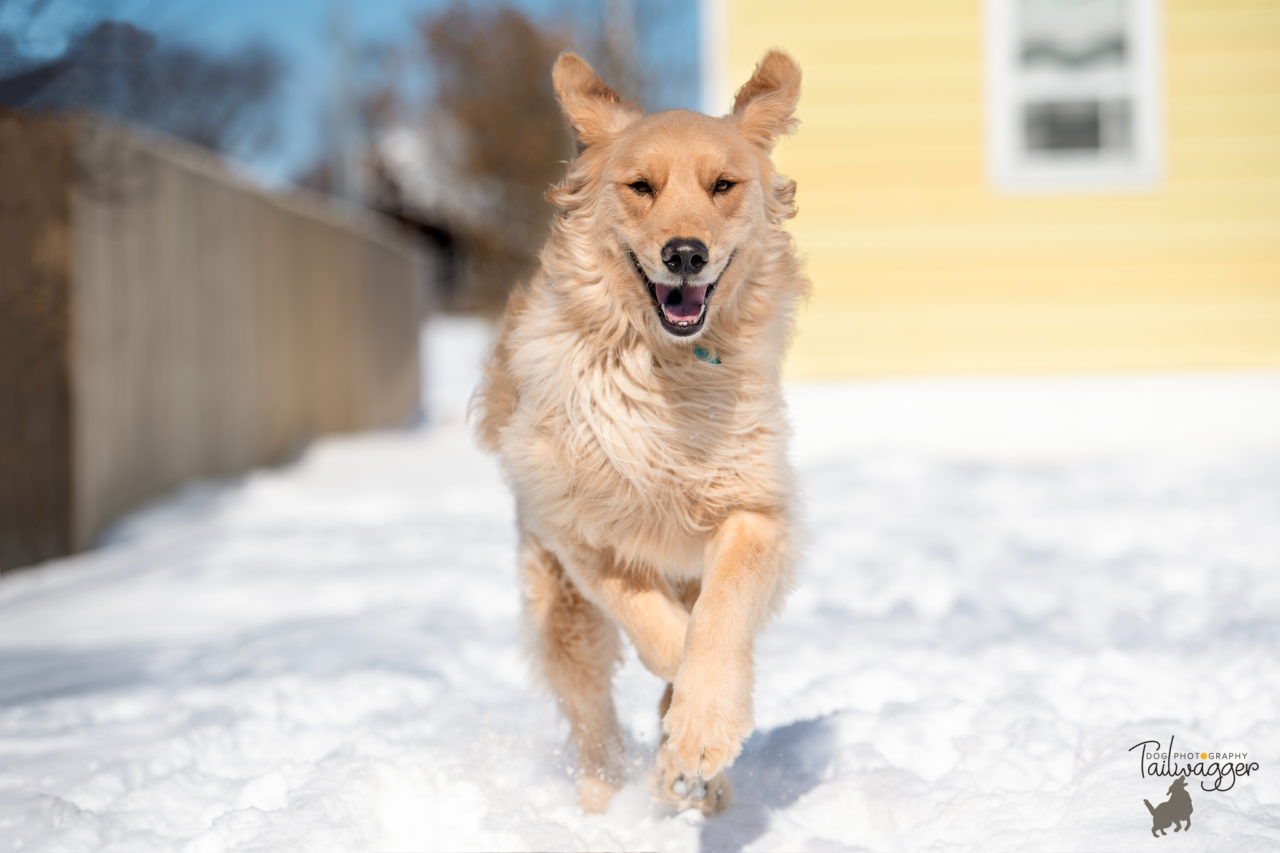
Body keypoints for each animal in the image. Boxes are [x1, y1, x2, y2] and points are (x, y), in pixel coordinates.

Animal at [476, 49, 803, 814]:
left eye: (722, 185)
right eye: (640, 187)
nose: (685, 254)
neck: (670, 367)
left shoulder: (754, 510)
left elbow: (719, 618)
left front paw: (701, 732)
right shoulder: (582, 532)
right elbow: (660, 634)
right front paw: (692, 732)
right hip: (559, 607)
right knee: (590, 715)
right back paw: (601, 800)